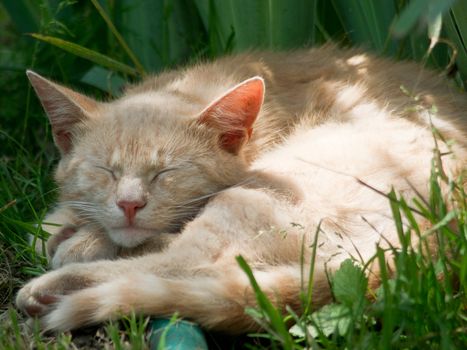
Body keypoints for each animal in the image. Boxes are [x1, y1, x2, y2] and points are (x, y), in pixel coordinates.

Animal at [16, 45, 466, 332]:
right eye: (105, 171)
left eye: (166, 173)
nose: (129, 205)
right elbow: (42, 229)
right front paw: (71, 225)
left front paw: (85, 240)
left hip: (257, 197)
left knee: (187, 263)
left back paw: (54, 286)